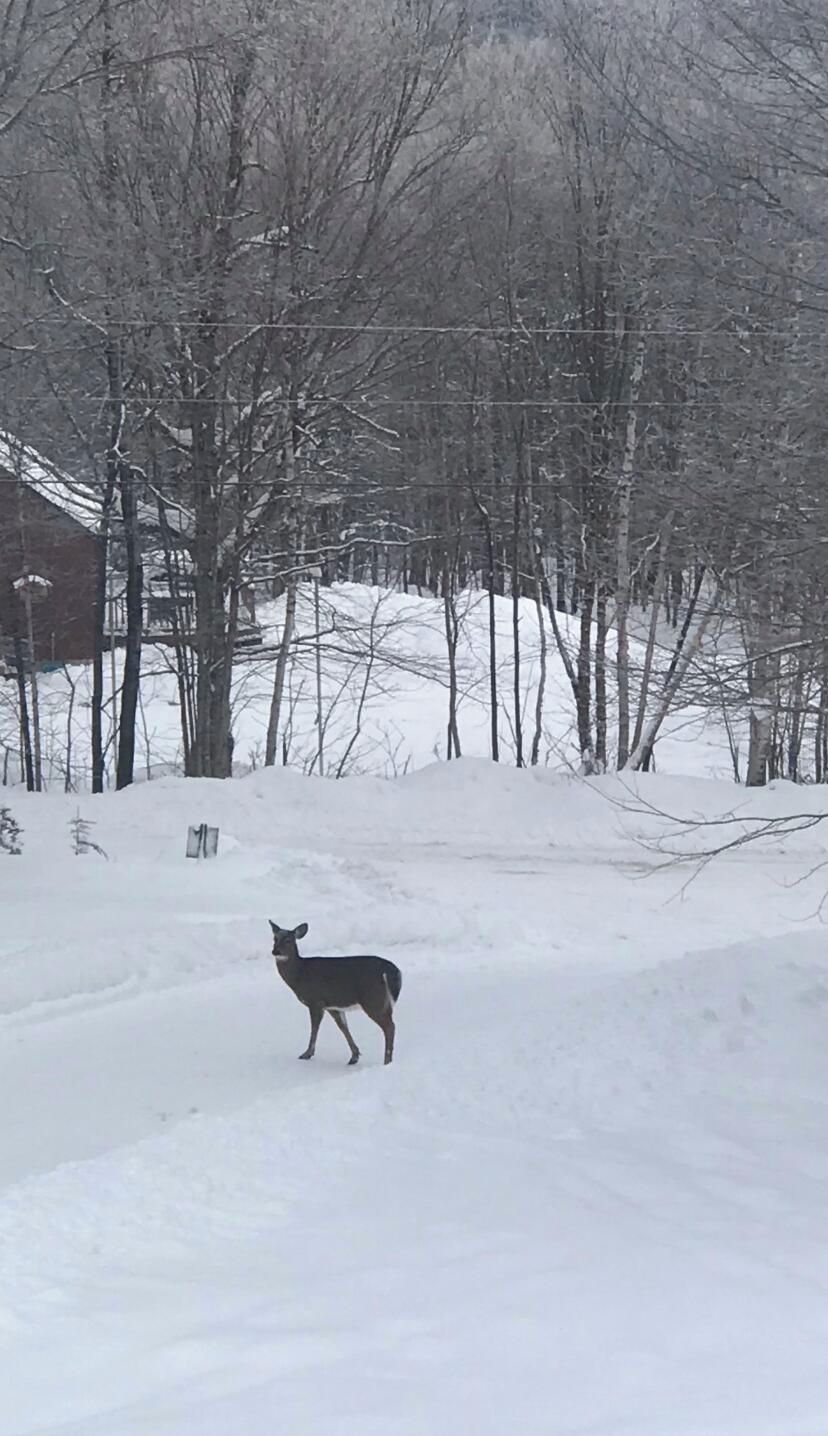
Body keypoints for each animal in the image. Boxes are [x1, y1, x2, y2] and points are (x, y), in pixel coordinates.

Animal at [269, 920, 402, 1066]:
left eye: (288, 940)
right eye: (274, 938)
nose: (275, 951)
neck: (300, 974)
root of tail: (391, 971)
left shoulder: (316, 1000)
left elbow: (314, 1027)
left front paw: (307, 1054)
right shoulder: (332, 1006)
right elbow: (343, 1027)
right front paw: (354, 1056)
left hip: (373, 999)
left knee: (390, 1027)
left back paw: (387, 1062)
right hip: (381, 1001)